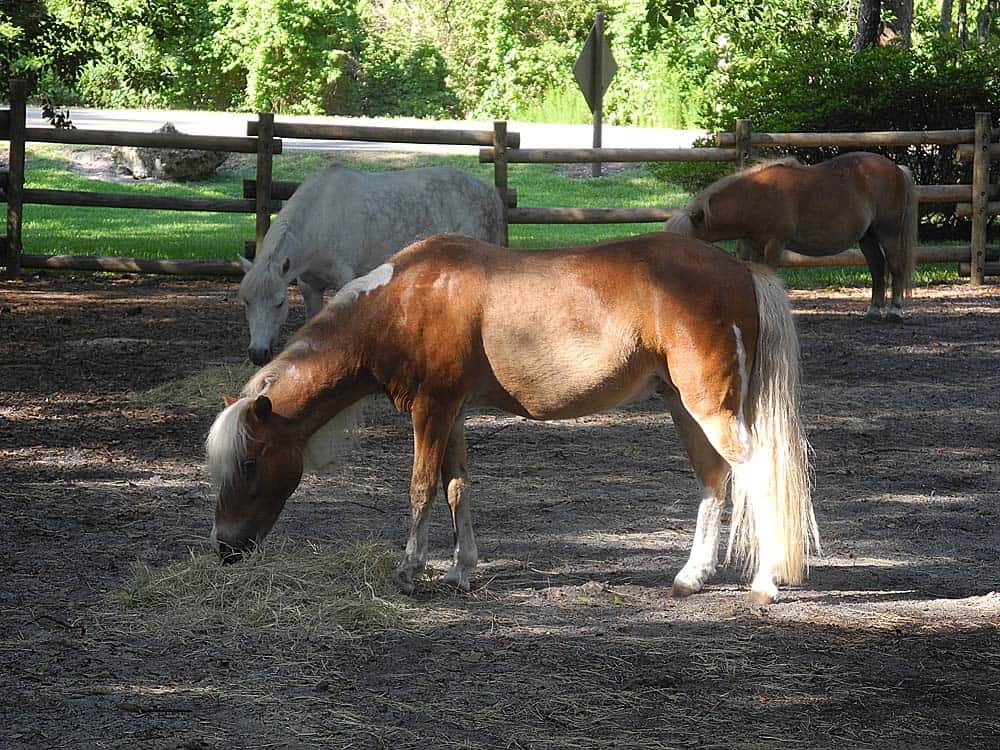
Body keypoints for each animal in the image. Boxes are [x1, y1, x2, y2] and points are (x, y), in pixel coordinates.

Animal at [207, 232, 820, 604]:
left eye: (251, 462)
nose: (225, 548)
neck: (402, 303)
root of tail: (740, 270)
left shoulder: (431, 410)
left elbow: (421, 487)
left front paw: (410, 573)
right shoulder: (451, 413)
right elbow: (456, 486)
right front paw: (460, 570)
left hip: (708, 407)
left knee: (757, 474)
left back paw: (765, 583)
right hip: (685, 407)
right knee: (715, 481)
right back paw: (691, 577)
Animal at [237, 164, 505, 365]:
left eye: (279, 303)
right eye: (246, 301)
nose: (258, 353)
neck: (321, 219)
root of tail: (489, 191)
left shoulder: (345, 279)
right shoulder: (309, 286)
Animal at [665, 152, 918, 321]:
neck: (754, 196)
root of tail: (897, 169)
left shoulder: (775, 245)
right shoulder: (752, 248)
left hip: (889, 233)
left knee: (896, 267)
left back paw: (895, 311)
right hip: (867, 237)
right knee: (877, 267)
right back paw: (874, 310)